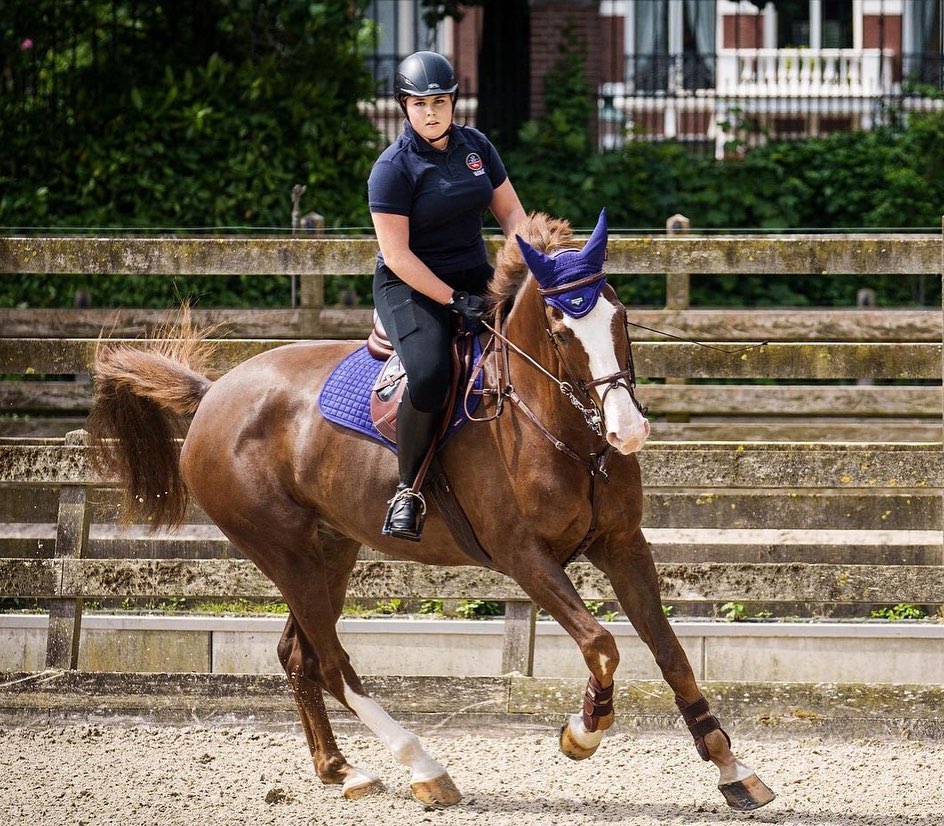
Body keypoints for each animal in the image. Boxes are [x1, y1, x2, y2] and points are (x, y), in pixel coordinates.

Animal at [88, 210, 775, 812]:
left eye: (620, 315)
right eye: (559, 328)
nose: (627, 431)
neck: (560, 431)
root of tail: (213, 395)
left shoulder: (624, 544)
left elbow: (670, 651)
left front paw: (733, 770)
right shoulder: (524, 557)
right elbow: (602, 644)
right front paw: (583, 731)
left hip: (328, 549)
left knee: (299, 654)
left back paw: (342, 770)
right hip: (281, 549)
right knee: (332, 662)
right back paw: (423, 767)